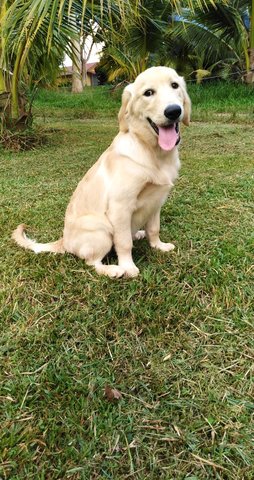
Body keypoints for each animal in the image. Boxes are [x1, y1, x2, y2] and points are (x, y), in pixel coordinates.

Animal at [11, 66, 190, 280]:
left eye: (175, 85)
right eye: (148, 93)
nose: (173, 111)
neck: (153, 152)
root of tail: (64, 240)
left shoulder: (156, 201)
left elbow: (154, 229)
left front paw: (158, 246)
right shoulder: (120, 207)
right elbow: (123, 243)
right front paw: (128, 266)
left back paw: (139, 233)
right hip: (100, 227)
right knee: (91, 262)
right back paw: (112, 269)